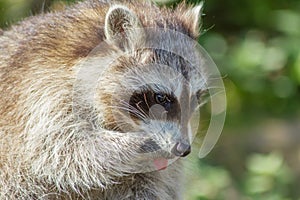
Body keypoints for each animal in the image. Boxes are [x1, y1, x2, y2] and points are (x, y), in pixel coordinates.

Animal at [0, 0, 206, 199]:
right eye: (161, 97)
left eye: (194, 98)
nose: (183, 148)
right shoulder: (43, 94)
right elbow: (59, 151)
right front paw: (141, 143)